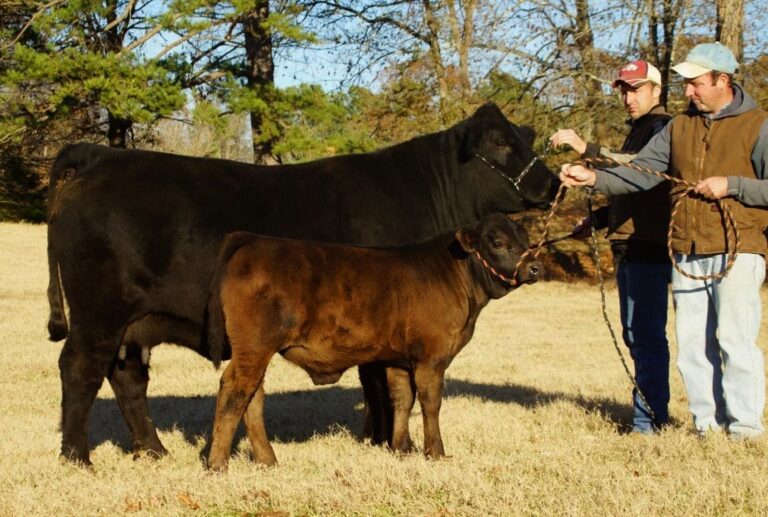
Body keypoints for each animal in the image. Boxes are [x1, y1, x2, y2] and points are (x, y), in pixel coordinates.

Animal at [206, 212, 540, 470]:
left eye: (526, 240)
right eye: (497, 242)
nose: (534, 267)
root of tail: (253, 240)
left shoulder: (397, 358)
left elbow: (402, 399)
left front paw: (401, 448)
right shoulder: (432, 358)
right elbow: (431, 403)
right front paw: (436, 452)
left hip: (256, 351)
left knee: (253, 396)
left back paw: (267, 460)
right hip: (254, 347)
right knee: (234, 391)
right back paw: (217, 464)